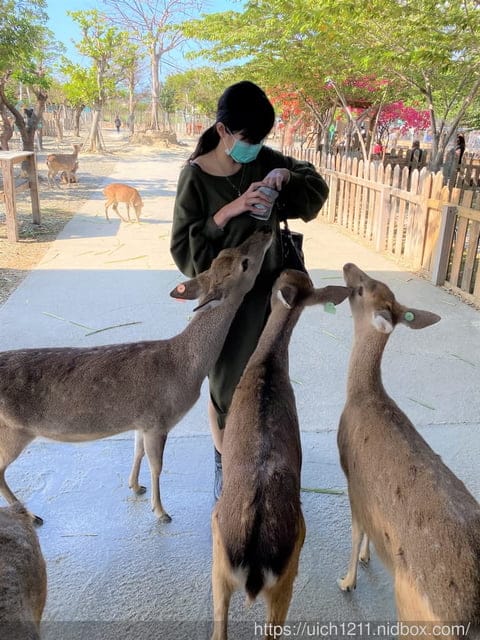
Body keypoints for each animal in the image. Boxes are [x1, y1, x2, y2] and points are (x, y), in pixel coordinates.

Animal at [0, 229, 272, 526]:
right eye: (244, 263)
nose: (265, 231)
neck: (186, 368)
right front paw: (162, 512)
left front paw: (135, 486)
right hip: (14, 430)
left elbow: (138, 451)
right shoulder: (158, 420)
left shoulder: (142, 421)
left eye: (225, 253)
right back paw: (32, 516)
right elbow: (157, 465)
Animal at [337, 263, 480, 635]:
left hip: (415, 611)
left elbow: (356, 531)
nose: (347, 266)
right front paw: (366, 556)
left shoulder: (352, 478)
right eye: (370, 281)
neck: (364, 396)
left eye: (362, 288)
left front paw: (347, 581)